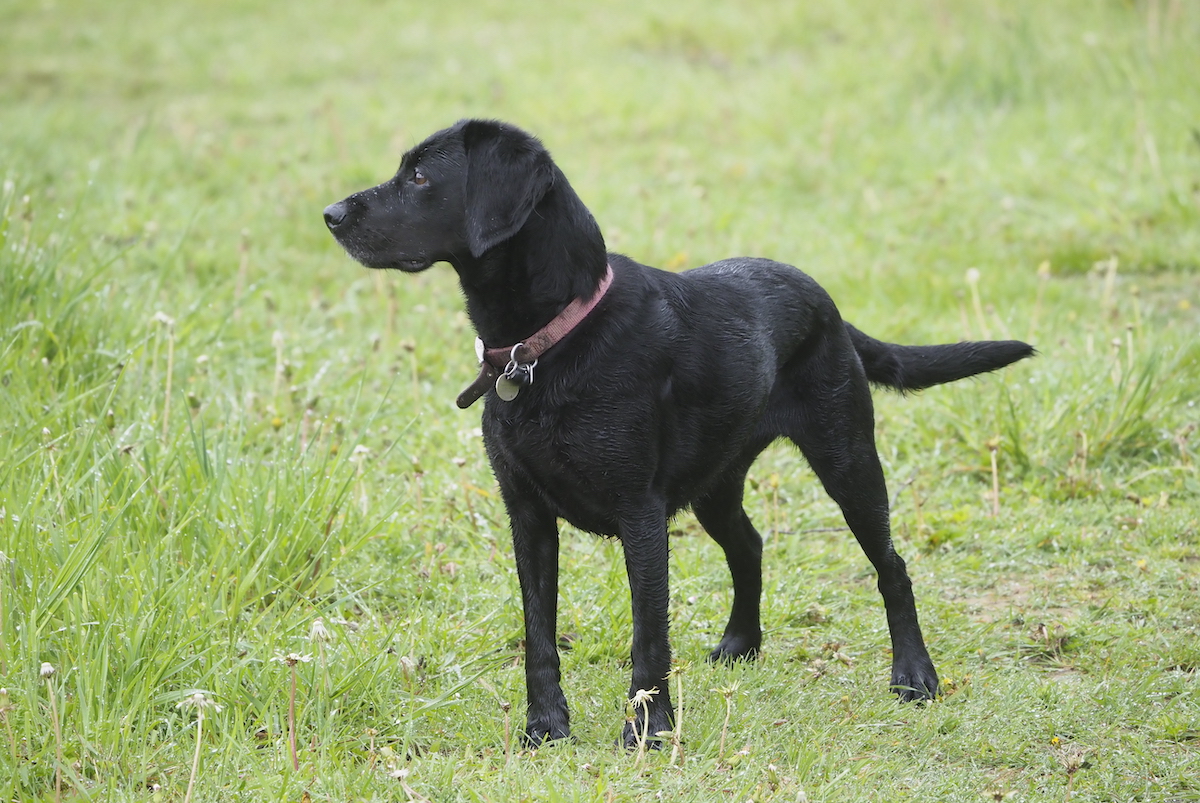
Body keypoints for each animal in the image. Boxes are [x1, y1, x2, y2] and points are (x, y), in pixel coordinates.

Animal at [324, 118, 1036, 744]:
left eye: (420, 175)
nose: (330, 214)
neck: (549, 342)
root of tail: (827, 303)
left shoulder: (640, 514)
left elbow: (649, 635)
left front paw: (649, 730)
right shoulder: (526, 513)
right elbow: (538, 633)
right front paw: (546, 728)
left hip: (849, 461)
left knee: (892, 566)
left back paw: (914, 676)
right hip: (716, 485)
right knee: (750, 546)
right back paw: (741, 644)